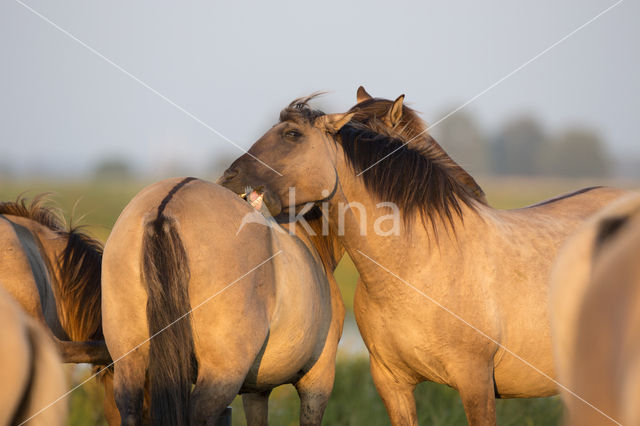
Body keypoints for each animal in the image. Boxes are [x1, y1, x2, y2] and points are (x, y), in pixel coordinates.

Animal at [104, 177, 344, 426]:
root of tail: (163, 210)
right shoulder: (317, 382)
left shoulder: (257, 390)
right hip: (222, 374)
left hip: (129, 363)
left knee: (129, 408)